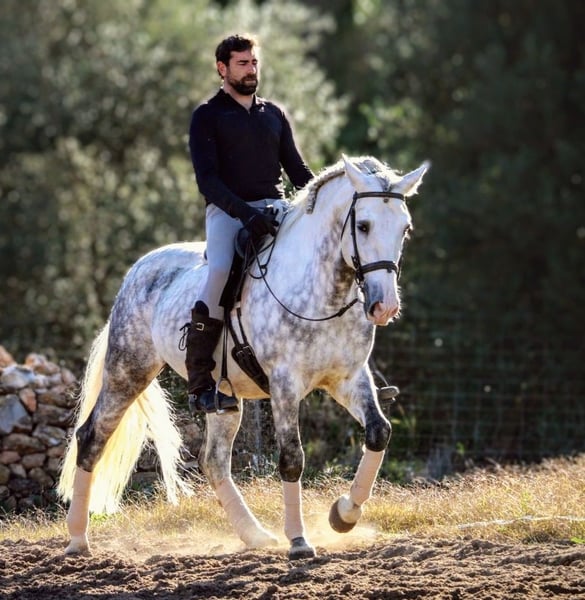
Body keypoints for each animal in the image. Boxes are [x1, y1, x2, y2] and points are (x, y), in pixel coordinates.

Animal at [58, 155, 428, 560]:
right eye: (363, 225)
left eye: (406, 229)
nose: (384, 306)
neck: (322, 292)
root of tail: (136, 271)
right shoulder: (284, 384)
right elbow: (292, 458)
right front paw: (299, 540)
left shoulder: (349, 378)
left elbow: (379, 432)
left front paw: (343, 515)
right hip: (128, 371)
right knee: (91, 437)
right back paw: (77, 539)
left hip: (224, 398)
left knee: (214, 461)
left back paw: (256, 535)